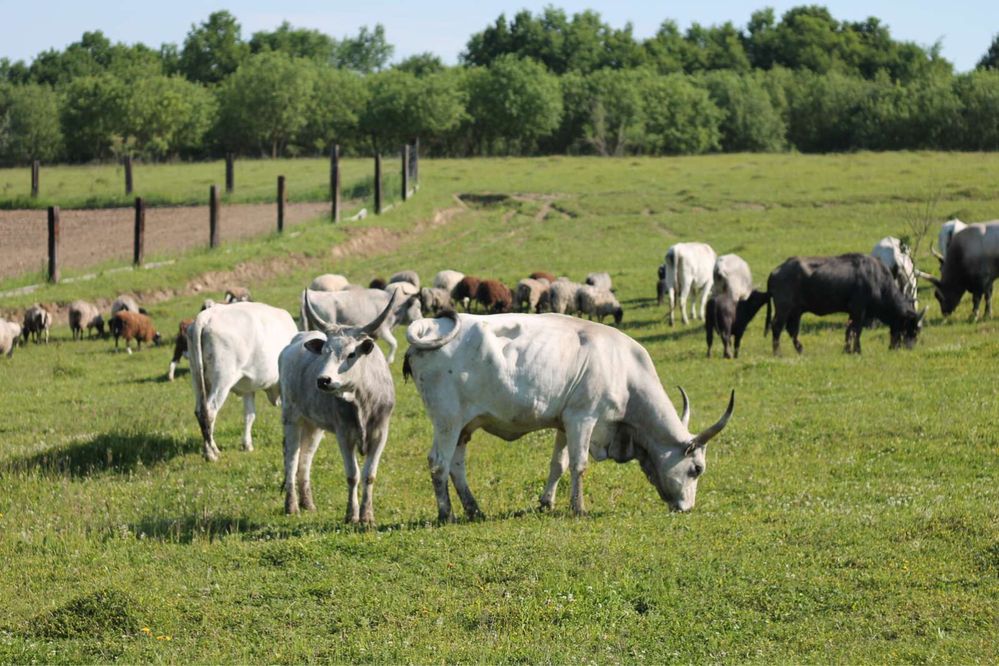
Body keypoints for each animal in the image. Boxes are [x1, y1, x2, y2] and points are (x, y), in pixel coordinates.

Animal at [188, 302, 296, 462]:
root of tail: (206, 316)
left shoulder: (248, 389)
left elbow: (249, 415)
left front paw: (247, 445)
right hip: (222, 379)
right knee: (209, 411)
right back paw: (211, 453)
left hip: (196, 376)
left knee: (199, 411)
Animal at [280, 294, 396, 520]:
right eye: (324, 352)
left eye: (351, 354)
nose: (323, 380)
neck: (361, 400)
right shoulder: (344, 435)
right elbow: (353, 475)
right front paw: (351, 515)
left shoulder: (381, 433)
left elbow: (369, 475)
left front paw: (367, 516)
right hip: (291, 417)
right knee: (292, 459)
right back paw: (292, 506)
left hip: (313, 425)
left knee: (305, 461)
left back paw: (308, 503)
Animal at [402, 312, 740, 520]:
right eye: (696, 469)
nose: (687, 508)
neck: (624, 370)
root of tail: (428, 325)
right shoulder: (583, 418)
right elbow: (579, 465)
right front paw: (579, 508)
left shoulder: (565, 423)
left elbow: (558, 464)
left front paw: (547, 502)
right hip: (447, 421)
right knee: (439, 463)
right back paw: (446, 513)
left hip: (464, 426)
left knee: (457, 467)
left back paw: (474, 509)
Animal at [764, 252, 928, 352]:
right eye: (912, 328)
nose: (909, 347)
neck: (877, 281)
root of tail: (775, 272)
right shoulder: (859, 311)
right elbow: (857, 331)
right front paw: (857, 350)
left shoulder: (852, 313)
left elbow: (849, 331)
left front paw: (847, 350)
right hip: (784, 309)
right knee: (777, 327)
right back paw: (778, 353)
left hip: (796, 312)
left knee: (792, 330)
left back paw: (800, 350)